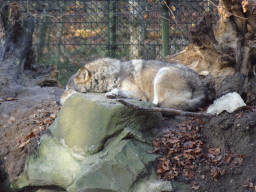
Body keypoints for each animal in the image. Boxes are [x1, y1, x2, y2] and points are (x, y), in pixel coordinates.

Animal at [59, 57, 206, 110]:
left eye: (68, 89)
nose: (56, 101)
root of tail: (200, 86)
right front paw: (113, 94)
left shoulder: (139, 93)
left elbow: (125, 92)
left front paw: (114, 92)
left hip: (161, 74)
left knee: (156, 103)